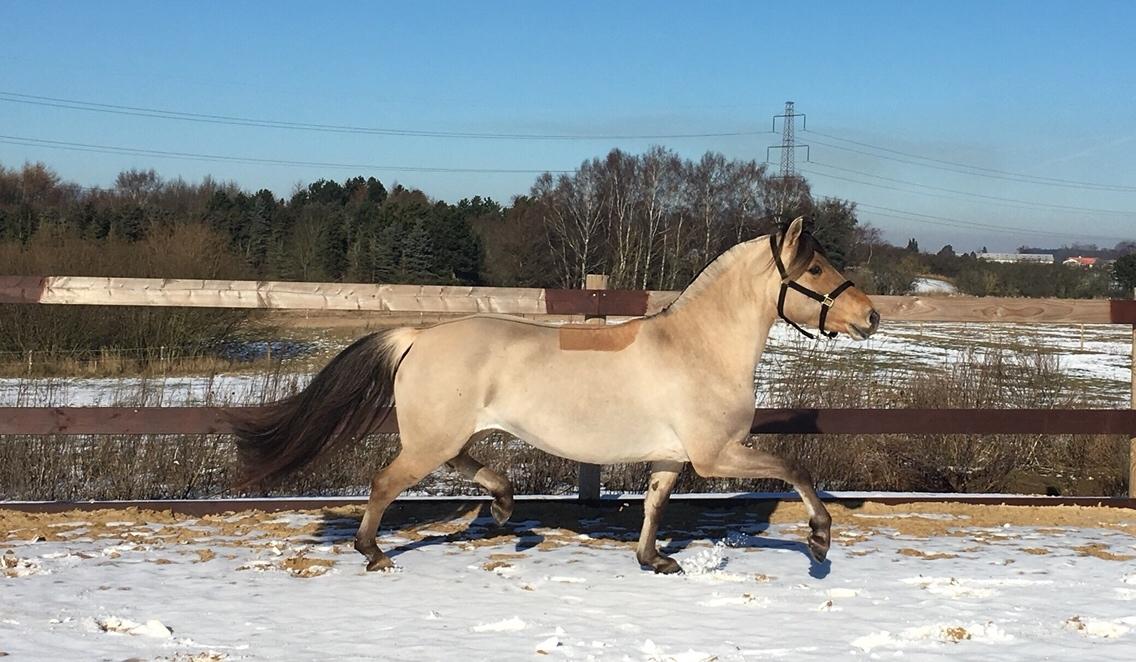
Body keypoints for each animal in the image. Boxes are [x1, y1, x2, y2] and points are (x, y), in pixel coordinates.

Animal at [235, 219, 881, 574]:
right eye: (816, 270)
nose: (870, 316)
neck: (699, 347)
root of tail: (417, 334)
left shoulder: (672, 457)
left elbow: (654, 506)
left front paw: (654, 560)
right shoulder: (716, 454)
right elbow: (794, 468)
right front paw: (820, 542)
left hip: (445, 433)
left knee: (461, 465)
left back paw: (502, 505)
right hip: (429, 439)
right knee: (384, 483)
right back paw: (373, 551)